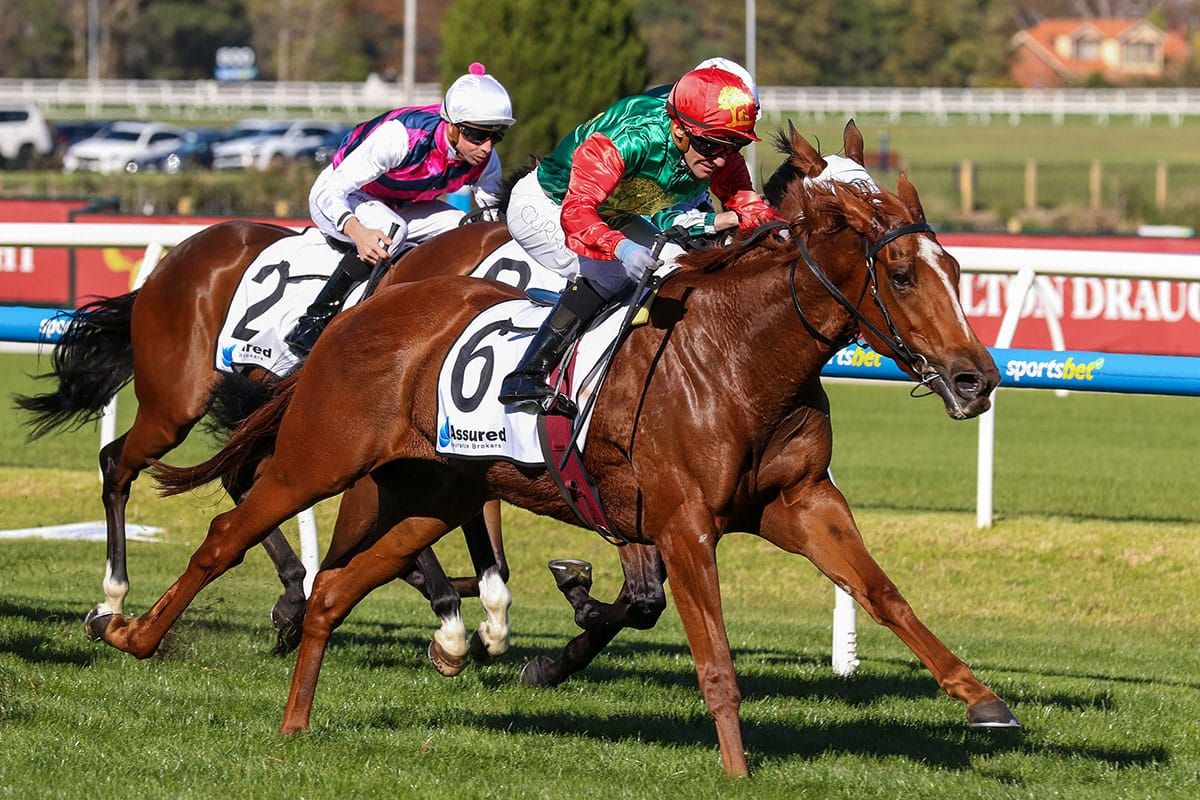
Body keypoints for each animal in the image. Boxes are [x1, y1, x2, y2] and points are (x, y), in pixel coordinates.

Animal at [14, 216, 515, 656]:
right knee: (118, 463)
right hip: (175, 406)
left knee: (235, 478)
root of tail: (175, 259)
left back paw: (294, 590)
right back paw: (114, 596)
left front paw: (486, 616)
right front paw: (451, 618)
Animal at [93, 120, 1019, 775]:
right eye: (901, 274)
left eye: (958, 271)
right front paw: (735, 768)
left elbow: (883, 593)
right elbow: (713, 656)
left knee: (338, 586)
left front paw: (983, 701)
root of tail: (363, 312)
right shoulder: (681, 522)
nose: (976, 379)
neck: (737, 353)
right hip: (309, 454)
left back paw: (304, 708)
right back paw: (128, 625)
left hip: (430, 492)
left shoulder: (799, 502)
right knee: (216, 524)